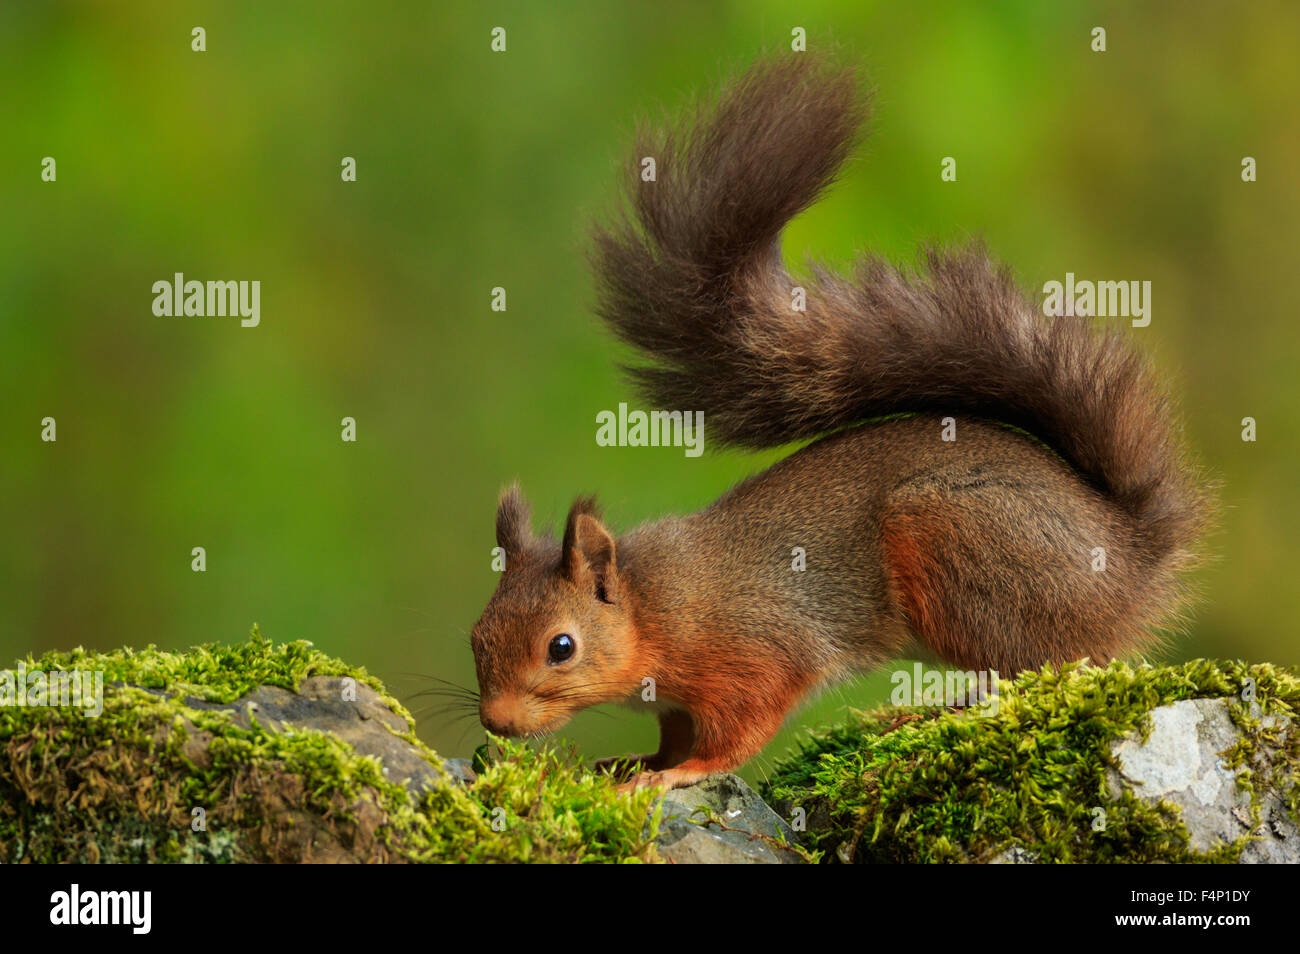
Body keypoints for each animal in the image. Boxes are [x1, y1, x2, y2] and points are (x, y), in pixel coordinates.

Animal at [468, 54, 1212, 791]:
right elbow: (671, 729)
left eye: (561, 647)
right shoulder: (675, 694)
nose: (497, 723)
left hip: (961, 543)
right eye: (476, 634)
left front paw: (681, 773)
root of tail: (1131, 555)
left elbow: (742, 726)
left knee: (1039, 666)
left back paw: (940, 708)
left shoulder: (754, 650)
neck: (651, 605)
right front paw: (637, 763)